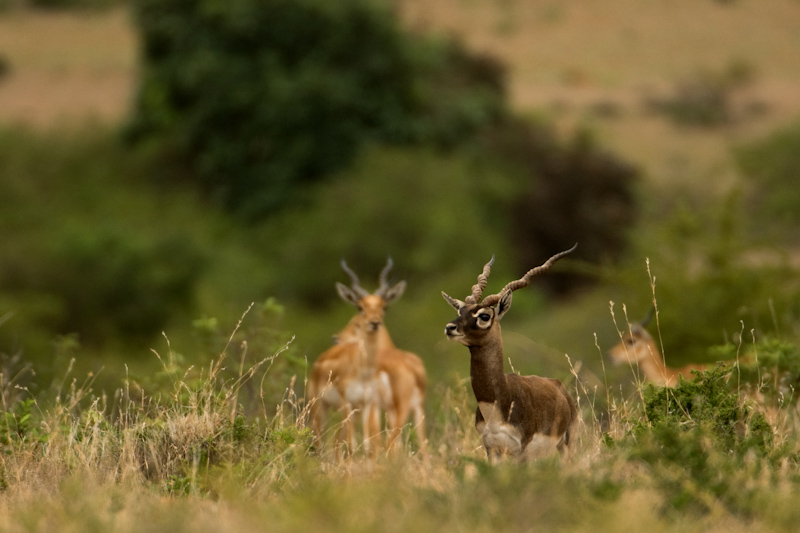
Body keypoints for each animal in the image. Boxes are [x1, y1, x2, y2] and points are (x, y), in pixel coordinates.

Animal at [440, 247, 580, 460]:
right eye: (461, 311)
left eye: (484, 316)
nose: (450, 328)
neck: (497, 407)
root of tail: (559, 387)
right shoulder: (491, 450)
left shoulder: (520, 450)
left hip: (566, 445)